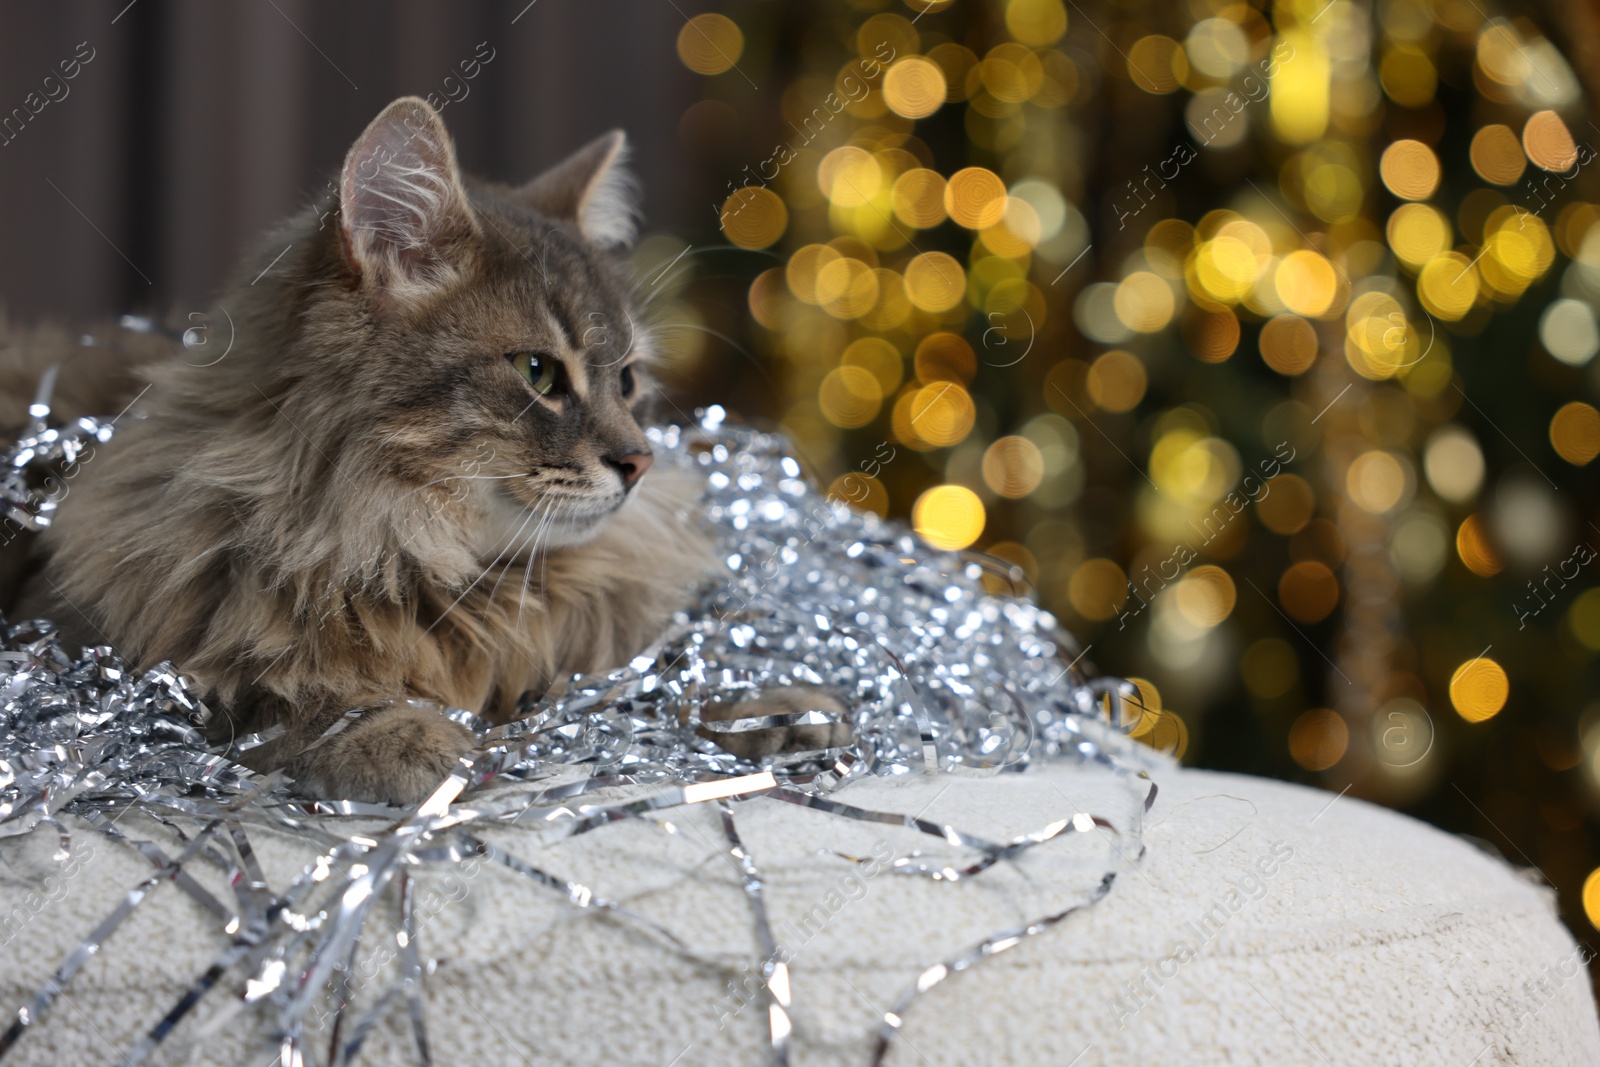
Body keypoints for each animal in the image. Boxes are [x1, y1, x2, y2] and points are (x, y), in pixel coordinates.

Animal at [3, 97, 851, 799]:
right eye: (538, 373)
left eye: (628, 380)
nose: (639, 462)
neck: (421, 558)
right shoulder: (108, 662)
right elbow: (286, 697)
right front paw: (404, 733)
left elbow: (651, 676)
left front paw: (770, 707)